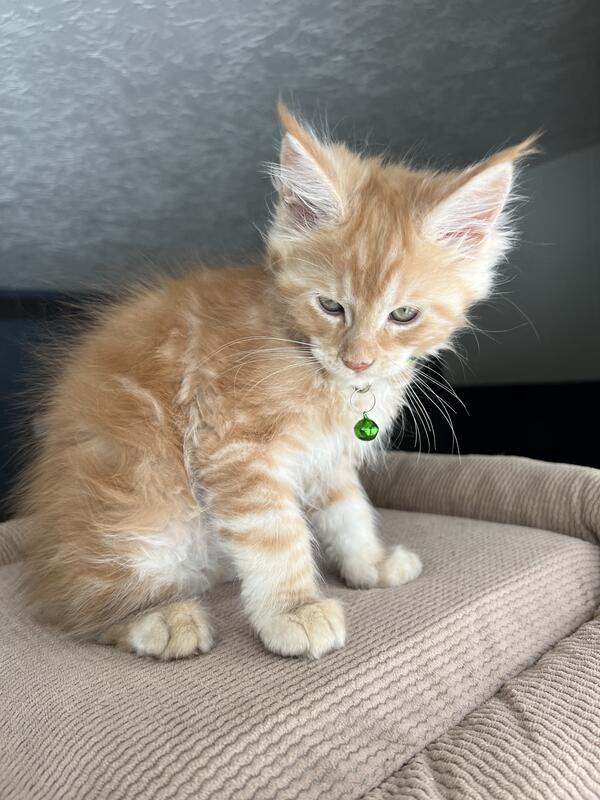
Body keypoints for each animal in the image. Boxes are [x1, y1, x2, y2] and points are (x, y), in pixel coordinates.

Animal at [17, 103, 537, 660]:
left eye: (403, 314)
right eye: (330, 305)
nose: (357, 361)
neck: (313, 362)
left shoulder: (328, 458)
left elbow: (349, 511)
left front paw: (368, 563)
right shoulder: (234, 445)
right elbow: (276, 535)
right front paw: (294, 610)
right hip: (135, 507)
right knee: (77, 607)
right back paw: (158, 617)